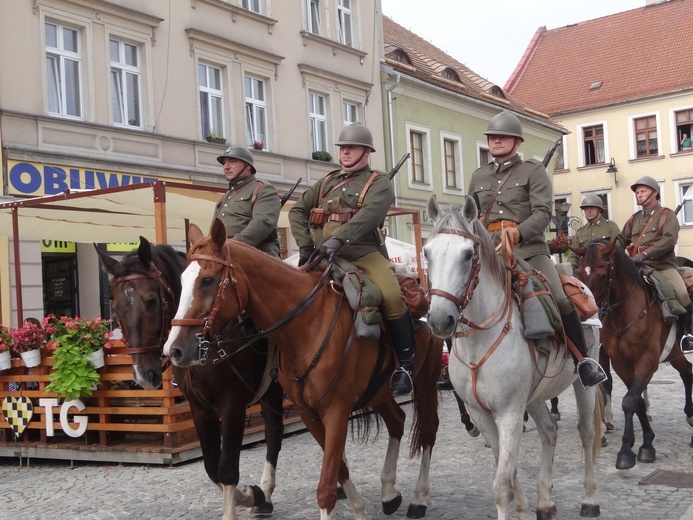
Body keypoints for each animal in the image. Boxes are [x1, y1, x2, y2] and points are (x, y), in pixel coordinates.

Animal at [94, 239, 284, 520]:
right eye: (115, 308)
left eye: (151, 301)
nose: (143, 375)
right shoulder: (199, 408)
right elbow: (212, 466)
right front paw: (250, 495)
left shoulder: (232, 405)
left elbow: (227, 467)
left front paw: (239, 503)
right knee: (273, 430)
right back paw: (266, 496)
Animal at [165, 219, 440, 520]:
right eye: (181, 281)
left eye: (207, 280)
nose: (174, 350)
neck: (306, 325)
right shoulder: (307, 412)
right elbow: (337, 469)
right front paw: (358, 507)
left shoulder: (332, 410)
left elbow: (325, 486)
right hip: (378, 391)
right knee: (397, 421)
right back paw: (389, 491)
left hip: (425, 382)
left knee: (428, 431)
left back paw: (419, 498)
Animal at [424, 196, 596, 520]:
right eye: (427, 253)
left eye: (468, 254)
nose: (440, 320)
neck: (479, 342)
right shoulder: (481, 414)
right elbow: (508, 470)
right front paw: (523, 506)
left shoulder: (510, 414)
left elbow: (501, 486)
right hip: (535, 394)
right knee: (549, 431)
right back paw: (545, 502)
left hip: (584, 382)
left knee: (586, 431)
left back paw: (590, 499)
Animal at [572, 240, 692, 472]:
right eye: (579, 273)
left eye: (602, 274)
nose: (586, 314)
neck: (627, 313)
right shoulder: (621, 364)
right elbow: (636, 402)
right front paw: (646, 445)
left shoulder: (647, 361)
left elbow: (629, 401)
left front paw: (626, 451)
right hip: (675, 353)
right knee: (687, 373)